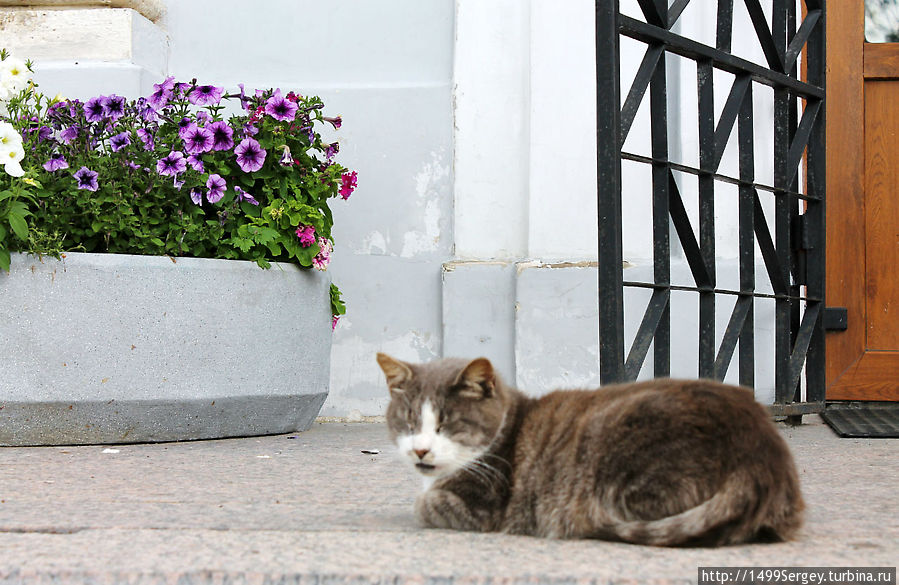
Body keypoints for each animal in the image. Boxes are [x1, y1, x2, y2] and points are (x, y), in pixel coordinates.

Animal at [376, 352, 804, 548]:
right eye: (409, 423)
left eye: (447, 425)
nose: (420, 451)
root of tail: (762, 451)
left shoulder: (481, 505)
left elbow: (425, 505)